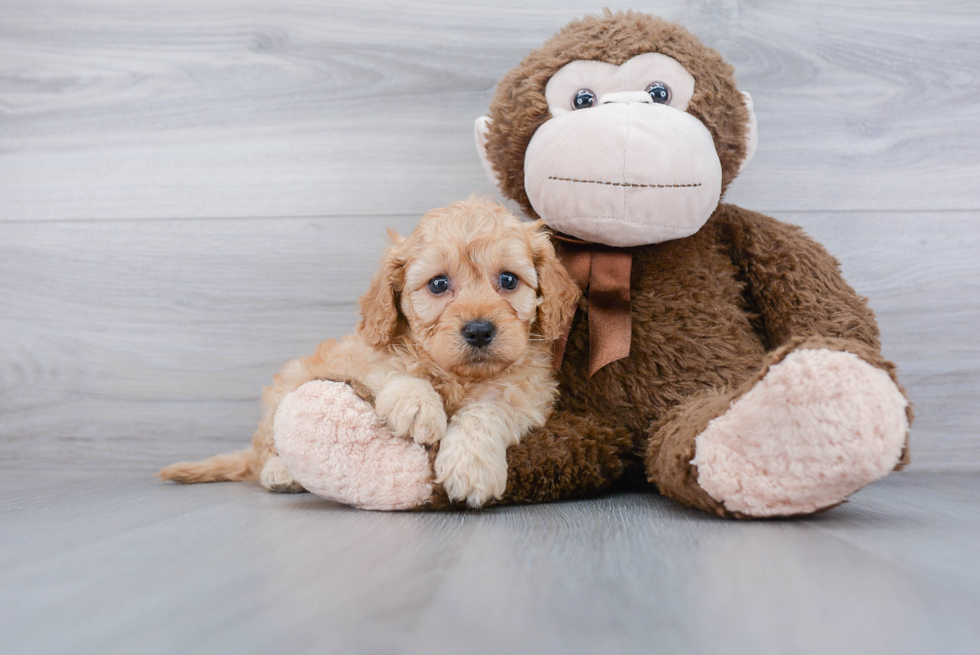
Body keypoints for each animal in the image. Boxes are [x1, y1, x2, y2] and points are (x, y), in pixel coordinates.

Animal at [157, 197, 580, 510]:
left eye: (508, 280)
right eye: (438, 284)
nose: (478, 330)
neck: (457, 375)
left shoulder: (528, 394)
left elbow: (486, 411)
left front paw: (471, 466)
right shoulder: (364, 356)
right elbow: (394, 370)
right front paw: (418, 405)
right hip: (286, 388)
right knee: (264, 452)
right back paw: (282, 473)